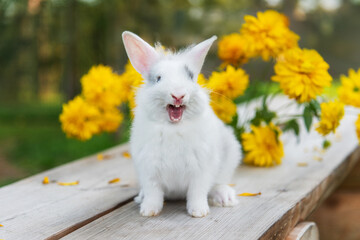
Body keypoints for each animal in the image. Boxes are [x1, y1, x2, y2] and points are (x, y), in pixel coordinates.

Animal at [121, 31, 242, 218]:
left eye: (190, 77)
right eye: (158, 78)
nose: (178, 95)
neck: (173, 127)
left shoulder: (201, 170)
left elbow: (197, 192)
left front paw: (199, 212)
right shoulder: (149, 171)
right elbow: (153, 193)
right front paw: (148, 211)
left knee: (218, 183)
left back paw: (225, 197)